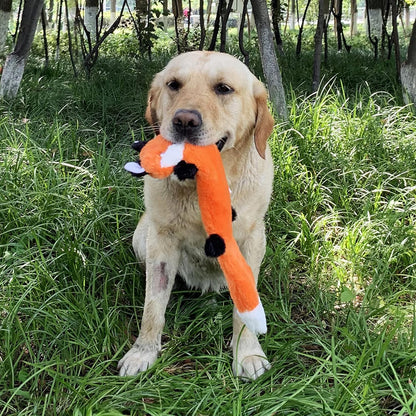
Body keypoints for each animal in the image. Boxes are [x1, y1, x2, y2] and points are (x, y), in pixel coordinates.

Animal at [118, 50, 272, 378]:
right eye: (173, 84)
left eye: (224, 88)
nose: (184, 121)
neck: (204, 185)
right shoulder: (161, 241)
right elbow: (153, 307)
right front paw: (143, 352)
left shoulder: (252, 240)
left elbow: (244, 310)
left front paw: (247, 353)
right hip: (143, 237)